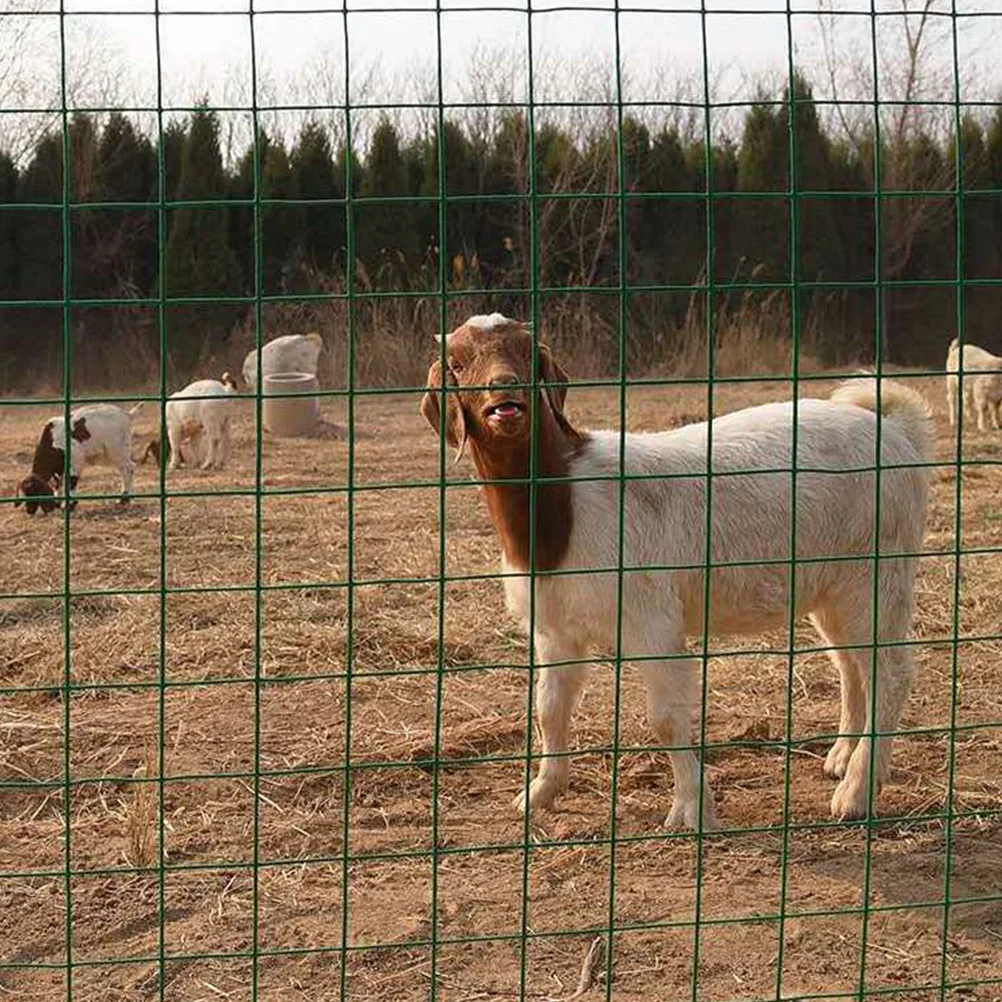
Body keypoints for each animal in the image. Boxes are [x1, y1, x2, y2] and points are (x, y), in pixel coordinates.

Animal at [418, 312, 933, 829]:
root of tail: (893, 427)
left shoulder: (651, 617)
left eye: (528, 352)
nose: (506, 392)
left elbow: (664, 718)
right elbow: (549, 708)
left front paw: (690, 807)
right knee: (850, 662)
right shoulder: (555, 627)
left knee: (890, 671)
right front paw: (540, 792)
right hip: (832, 583)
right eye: (458, 363)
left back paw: (856, 792)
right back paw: (844, 757)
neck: (563, 505)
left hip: (877, 569)